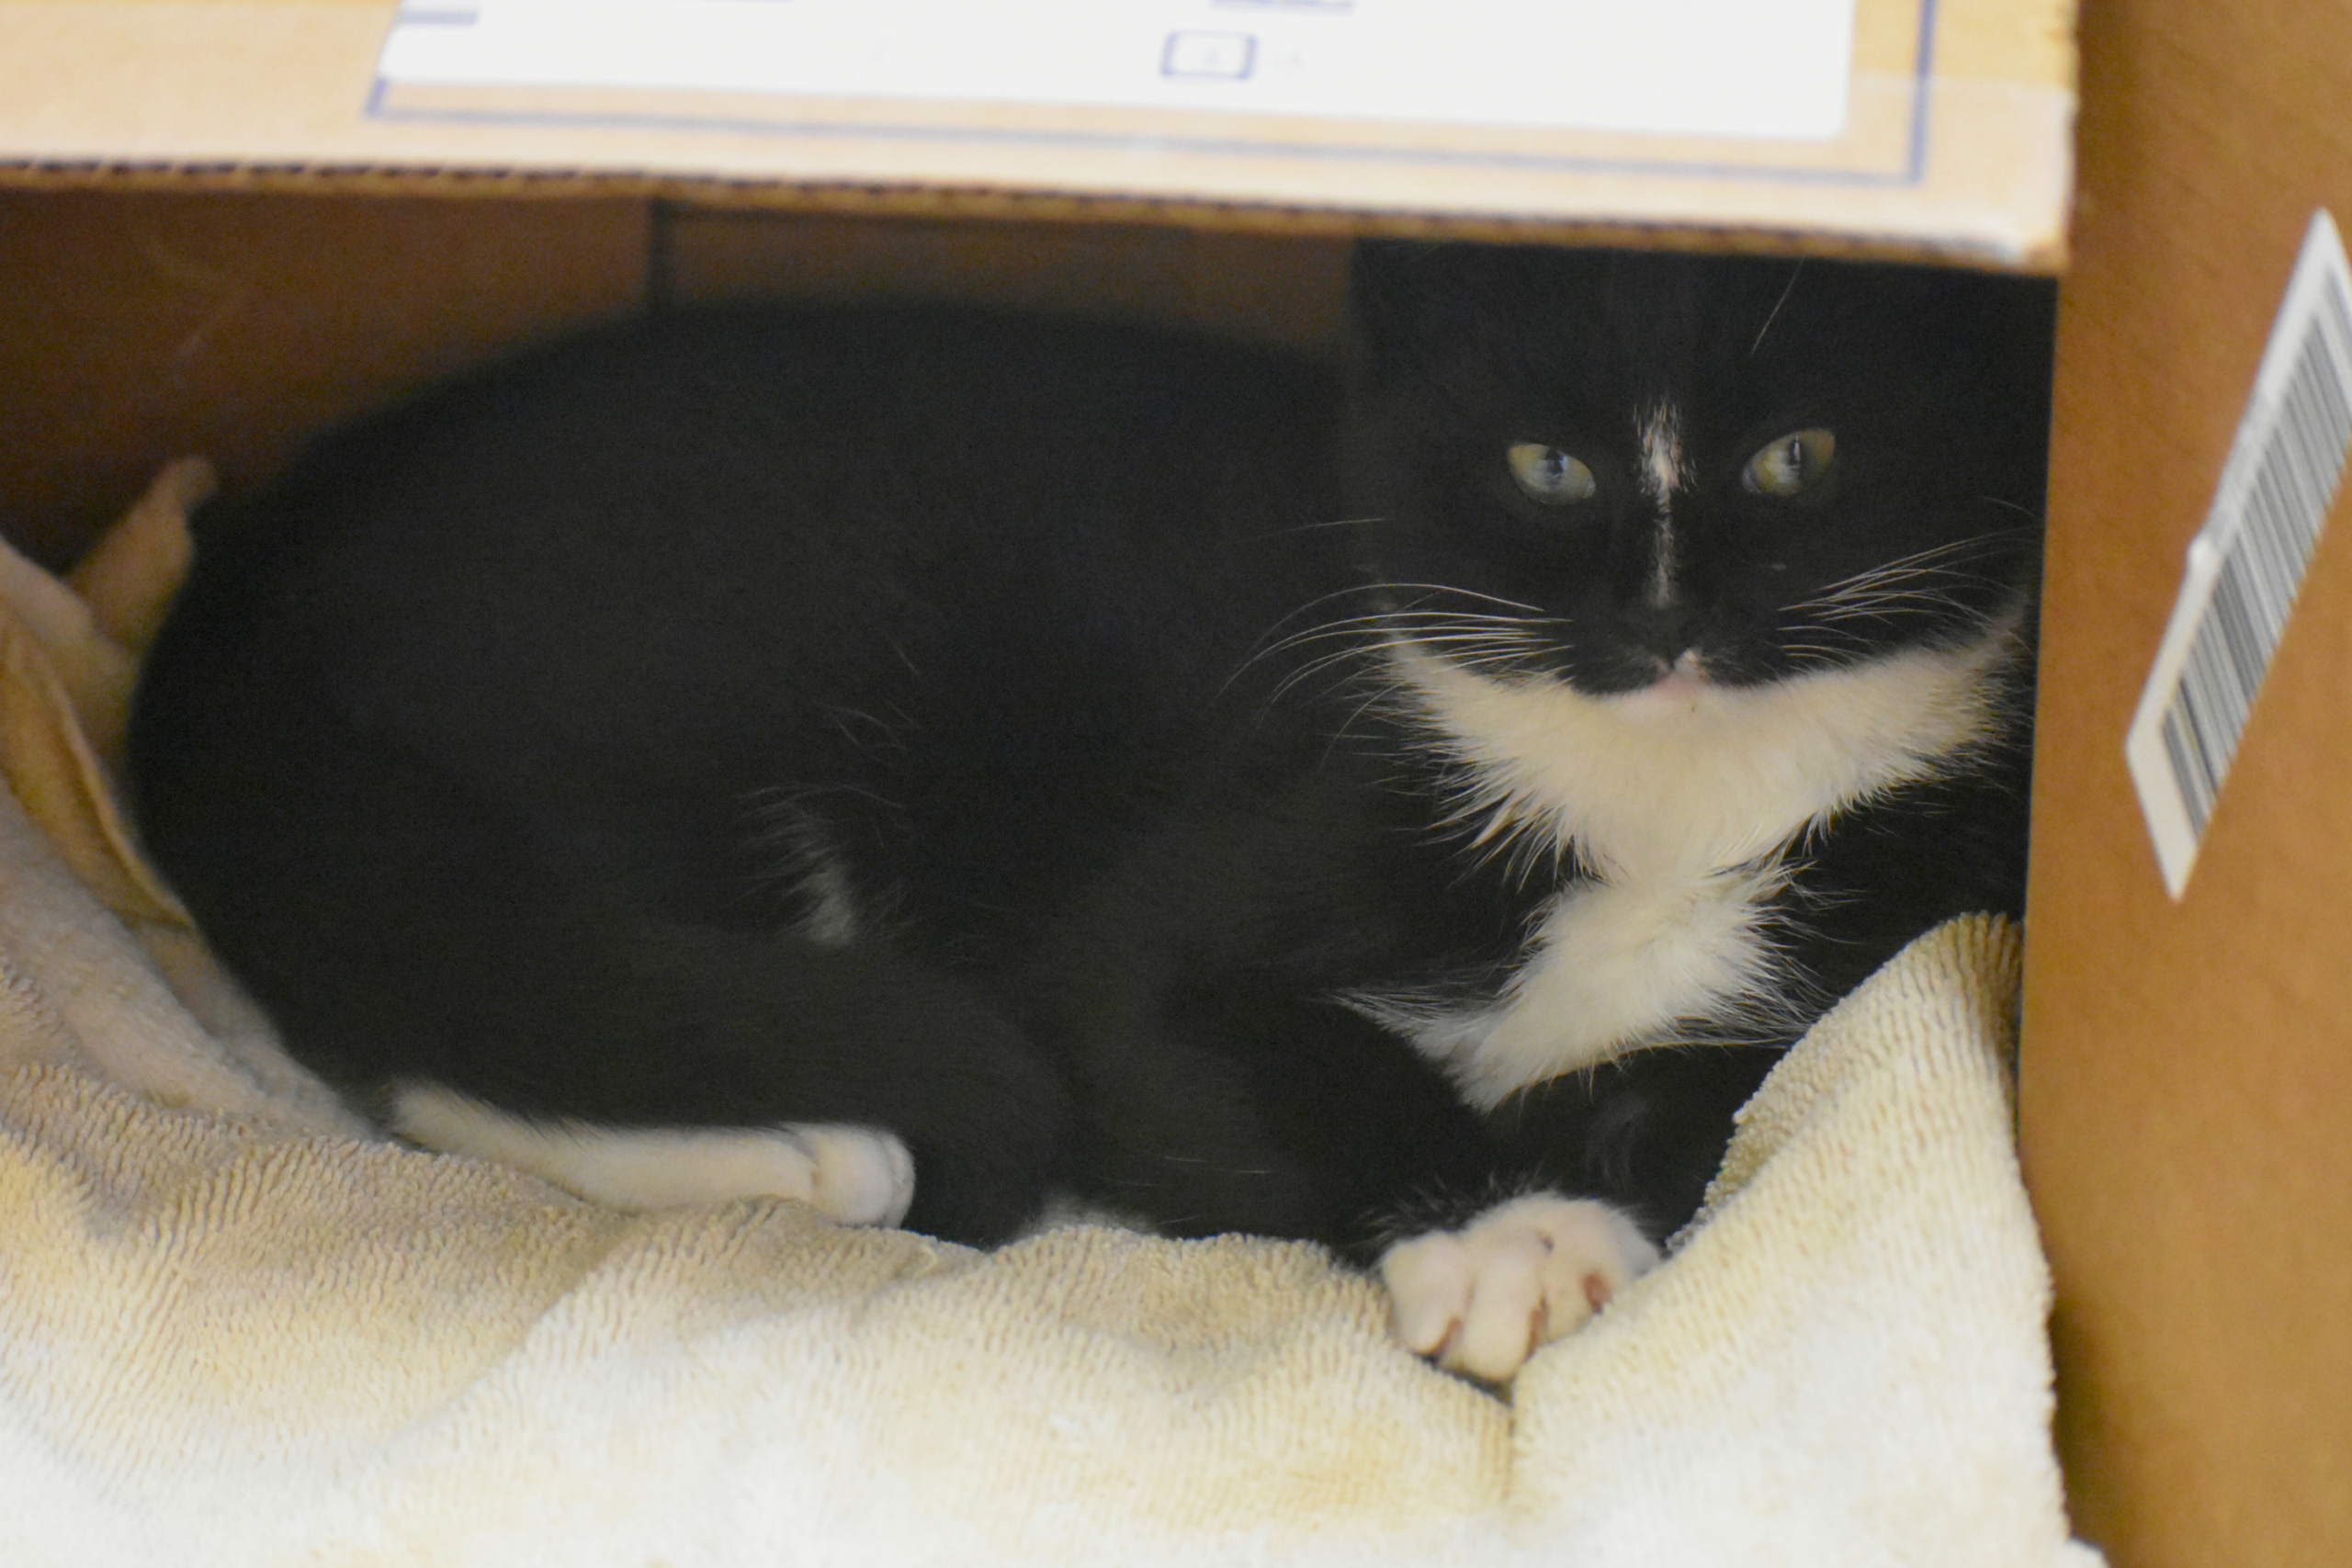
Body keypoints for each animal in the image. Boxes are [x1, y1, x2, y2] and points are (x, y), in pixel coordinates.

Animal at [126, 241, 2054, 1382]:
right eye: (1546, 467)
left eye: (1797, 457)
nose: (1661, 624)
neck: (1655, 801)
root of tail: (242, 581)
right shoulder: (1202, 879)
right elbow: (1220, 1052)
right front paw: (1492, 1234)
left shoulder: (1918, 896)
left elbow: (1713, 1087)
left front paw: (1569, 1198)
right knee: (483, 1018)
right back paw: (823, 1151)